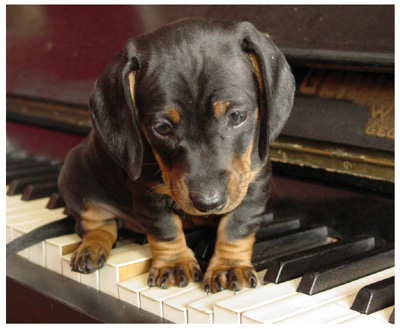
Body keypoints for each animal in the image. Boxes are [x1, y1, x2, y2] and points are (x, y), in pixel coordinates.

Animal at [57, 18, 294, 292]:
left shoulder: (252, 182)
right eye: (162, 128)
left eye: (236, 116)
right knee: (97, 225)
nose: (208, 204)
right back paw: (91, 248)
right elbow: (164, 227)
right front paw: (174, 263)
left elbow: (237, 225)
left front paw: (228, 266)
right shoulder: (148, 192)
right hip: (75, 176)